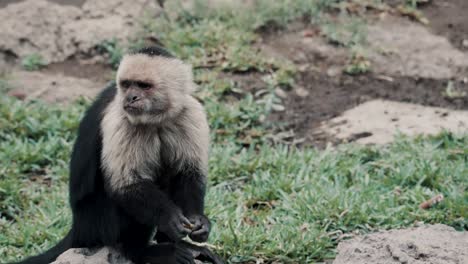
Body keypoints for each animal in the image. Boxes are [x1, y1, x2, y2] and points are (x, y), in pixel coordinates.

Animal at [14, 47, 223, 264]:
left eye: (144, 86)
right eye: (126, 84)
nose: (130, 97)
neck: (157, 118)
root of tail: (78, 228)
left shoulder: (190, 112)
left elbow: (188, 173)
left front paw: (199, 221)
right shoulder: (121, 118)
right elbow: (126, 185)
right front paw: (169, 218)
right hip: (98, 223)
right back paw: (143, 251)